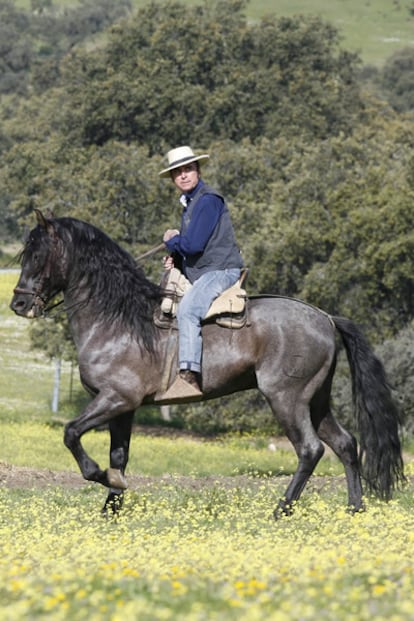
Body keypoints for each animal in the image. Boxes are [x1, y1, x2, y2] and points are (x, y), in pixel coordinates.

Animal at [9, 211, 404, 516]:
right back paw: (354, 508)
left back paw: (281, 510)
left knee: (310, 449)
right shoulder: (124, 408)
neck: (117, 319)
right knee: (346, 444)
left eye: (38, 256)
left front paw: (103, 480)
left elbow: (71, 433)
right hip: (316, 401)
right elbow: (119, 456)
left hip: (287, 399)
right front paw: (111, 509)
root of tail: (326, 317)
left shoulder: (116, 399)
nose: (19, 304)